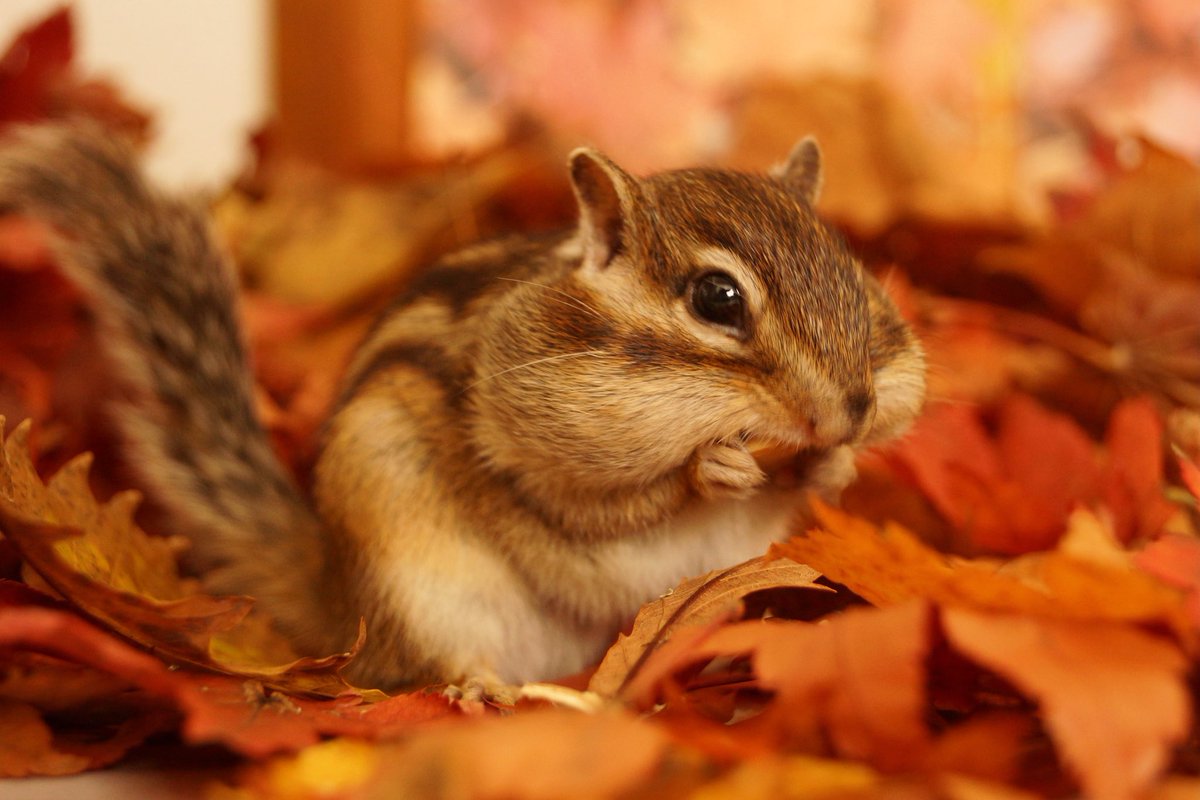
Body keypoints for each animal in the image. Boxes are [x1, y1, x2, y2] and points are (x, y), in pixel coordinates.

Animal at [0, 123, 925, 689]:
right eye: (716, 298)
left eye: (849, 264)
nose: (851, 409)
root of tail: (338, 600)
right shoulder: (527, 447)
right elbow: (599, 506)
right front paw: (714, 466)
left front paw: (833, 465)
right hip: (415, 576)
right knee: (429, 665)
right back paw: (484, 691)